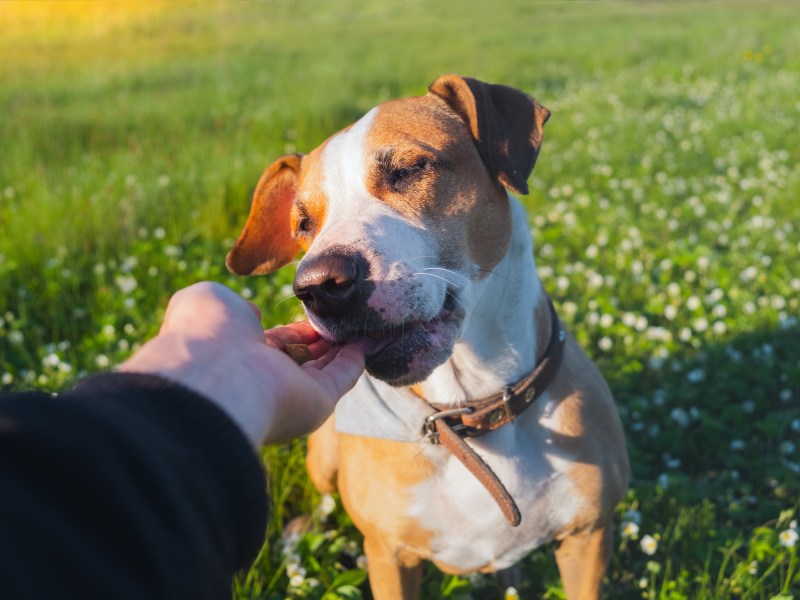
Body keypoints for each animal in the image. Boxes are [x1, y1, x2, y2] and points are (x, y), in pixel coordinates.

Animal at [227, 76, 632, 600]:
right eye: (303, 224)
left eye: (407, 170)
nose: (318, 285)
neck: (468, 408)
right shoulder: (389, 556)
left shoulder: (588, 539)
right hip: (323, 455)